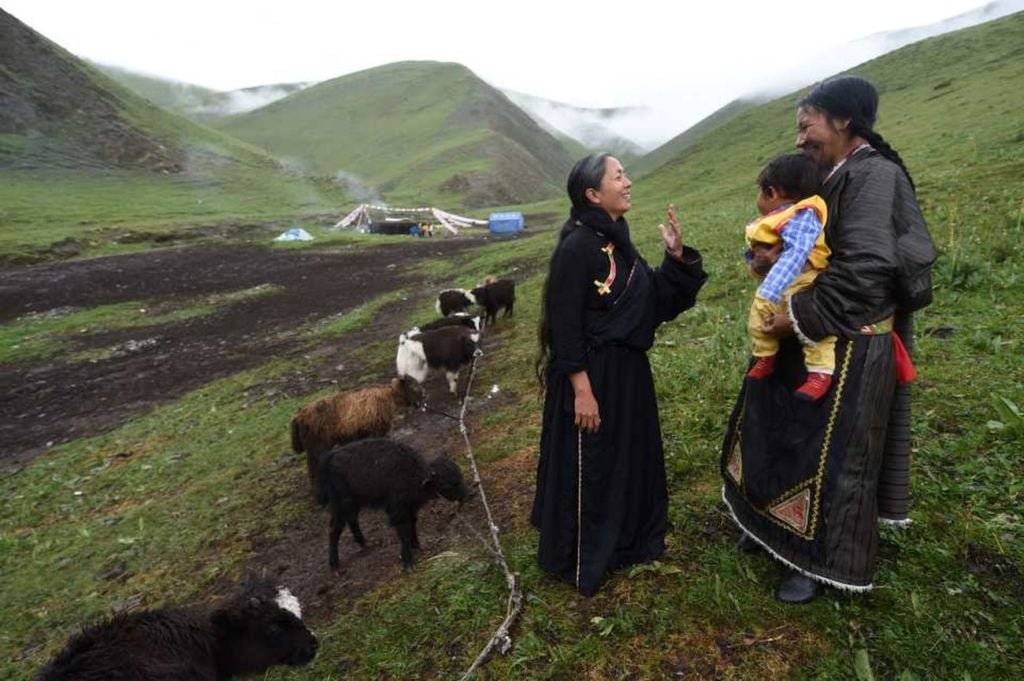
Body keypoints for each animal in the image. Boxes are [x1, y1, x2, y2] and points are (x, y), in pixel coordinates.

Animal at [317, 438, 473, 569]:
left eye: (459, 474)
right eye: (446, 485)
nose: (470, 494)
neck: (414, 474)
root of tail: (331, 456)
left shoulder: (411, 508)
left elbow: (412, 524)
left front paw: (416, 545)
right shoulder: (398, 511)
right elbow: (404, 531)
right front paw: (408, 562)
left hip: (354, 503)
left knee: (351, 520)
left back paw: (363, 543)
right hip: (342, 503)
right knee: (334, 528)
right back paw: (335, 566)